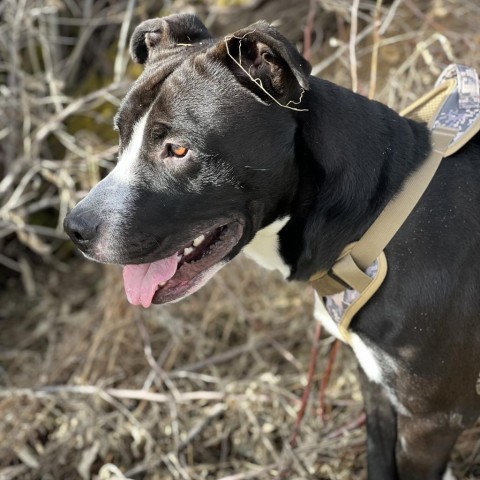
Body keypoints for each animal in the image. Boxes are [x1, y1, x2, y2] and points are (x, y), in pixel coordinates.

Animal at [63, 14, 480, 480]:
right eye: (120, 135)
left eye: (178, 149)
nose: (74, 228)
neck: (375, 215)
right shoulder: (377, 389)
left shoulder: (432, 421)